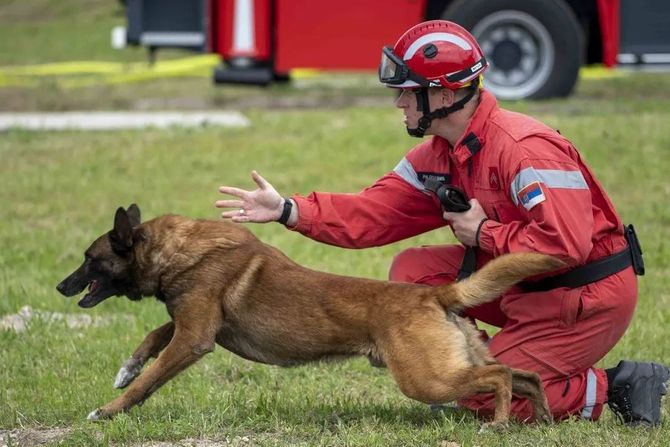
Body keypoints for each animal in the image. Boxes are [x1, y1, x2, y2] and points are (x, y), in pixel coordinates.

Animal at [57, 205, 564, 428]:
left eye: (89, 259)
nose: (61, 286)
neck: (175, 250)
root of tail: (435, 295)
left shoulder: (195, 337)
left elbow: (150, 379)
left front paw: (109, 410)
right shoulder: (194, 325)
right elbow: (153, 336)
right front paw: (126, 369)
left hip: (426, 379)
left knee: (501, 375)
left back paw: (500, 423)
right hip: (455, 363)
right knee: (526, 375)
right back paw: (541, 419)